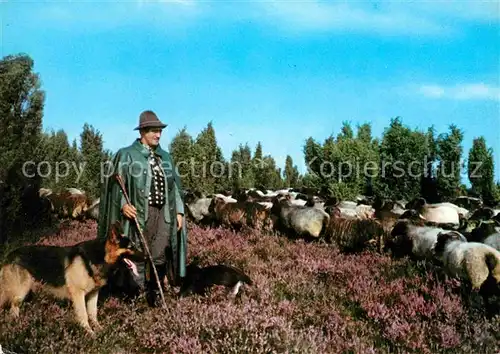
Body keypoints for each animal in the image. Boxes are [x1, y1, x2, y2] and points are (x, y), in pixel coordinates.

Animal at [0, 221, 145, 334]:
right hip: (21, 292)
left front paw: (100, 330)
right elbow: (84, 315)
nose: (146, 257)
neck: (100, 256)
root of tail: (9, 255)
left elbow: (93, 314)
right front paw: (89, 333)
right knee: (13, 309)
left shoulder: (93, 294)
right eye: (131, 247)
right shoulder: (78, 294)